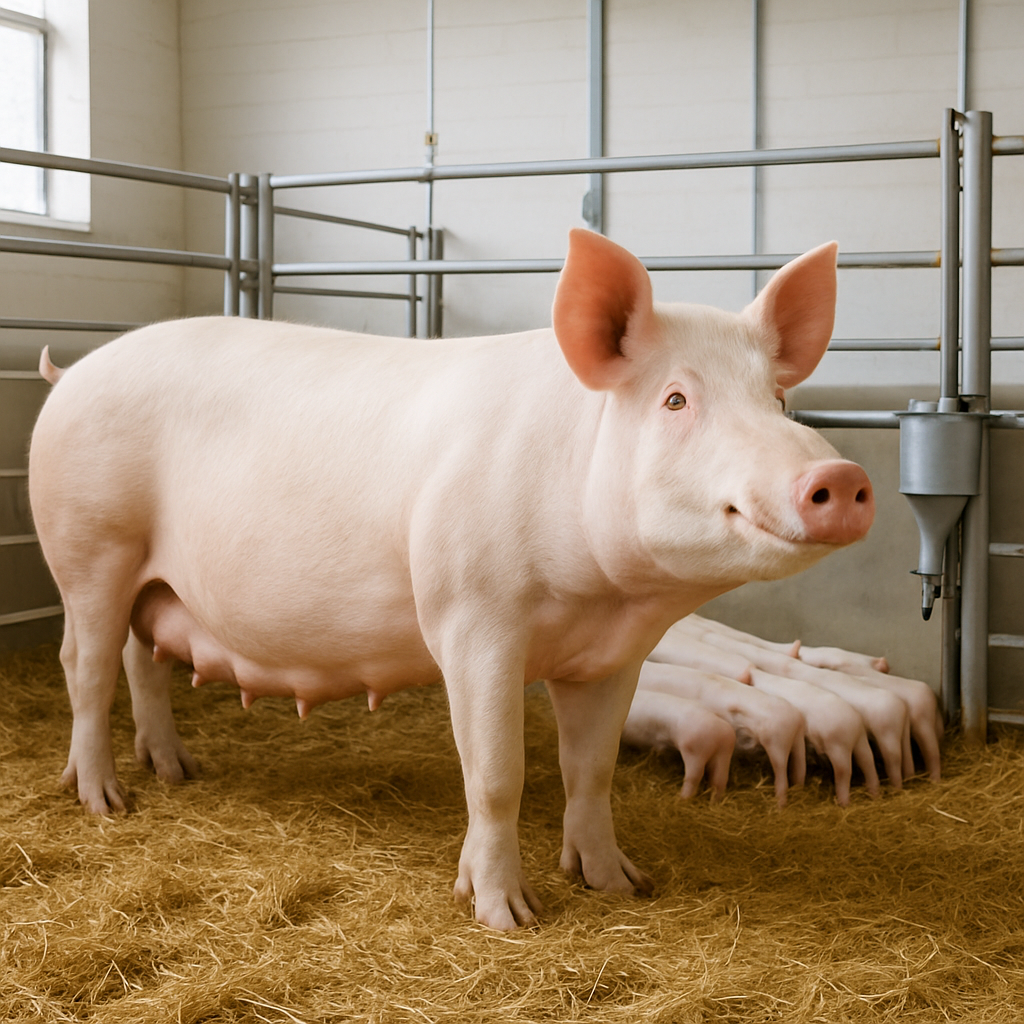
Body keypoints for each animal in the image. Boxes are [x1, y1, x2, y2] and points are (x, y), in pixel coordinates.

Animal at [29, 228, 873, 930]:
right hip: (89, 547)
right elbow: (497, 773)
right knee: (84, 666)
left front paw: (622, 885)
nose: (840, 475)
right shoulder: (473, 619)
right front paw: (509, 917)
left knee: (140, 659)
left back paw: (177, 772)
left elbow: (590, 770)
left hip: (152, 578)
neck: (603, 600)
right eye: (675, 399)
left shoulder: (609, 657)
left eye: (779, 398)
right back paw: (106, 802)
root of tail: (71, 372)